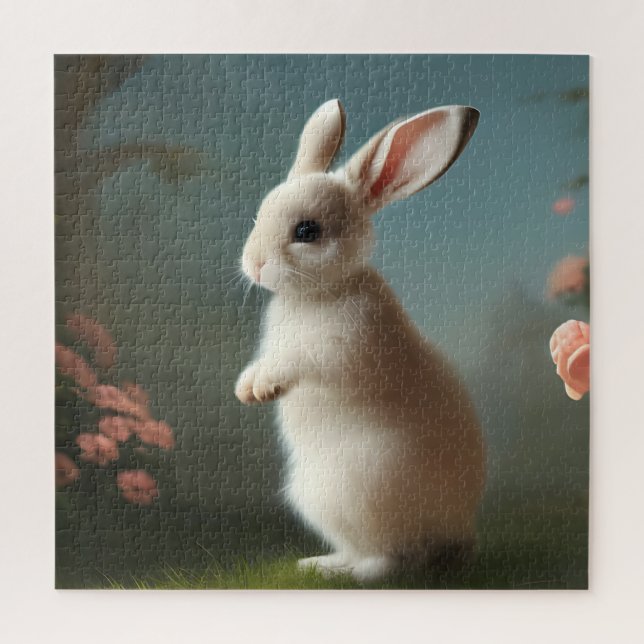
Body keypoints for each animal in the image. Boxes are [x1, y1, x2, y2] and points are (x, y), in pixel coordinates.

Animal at [235, 99, 485, 582]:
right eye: (259, 214)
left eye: (307, 231)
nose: (253, 264)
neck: (317, 293)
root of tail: (456, 536)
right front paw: (246, 388)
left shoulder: (351, 339)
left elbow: (303, 359)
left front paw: (264, 387)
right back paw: (319, 564)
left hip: (361, 490)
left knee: (396, 559)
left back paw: (351, 575)